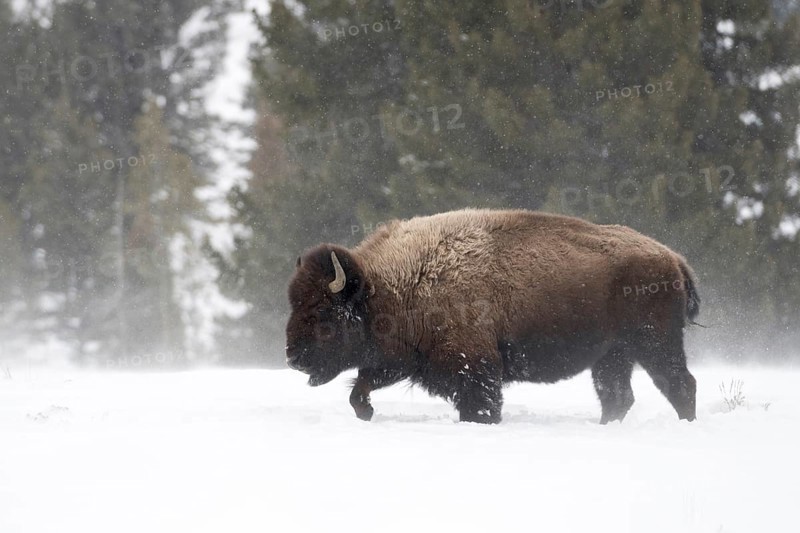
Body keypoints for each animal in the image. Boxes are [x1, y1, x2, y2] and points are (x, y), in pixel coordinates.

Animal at [285, 208, 699, 424]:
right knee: (617, 396)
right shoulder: (401, 360)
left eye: (321, 309)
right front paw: (366, 412)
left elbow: (481, 405)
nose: (292, 357)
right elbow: (360, 388)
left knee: (680, 384)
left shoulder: (474, 367)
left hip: (654, 342)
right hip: (613, 355)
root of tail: (672, 258)